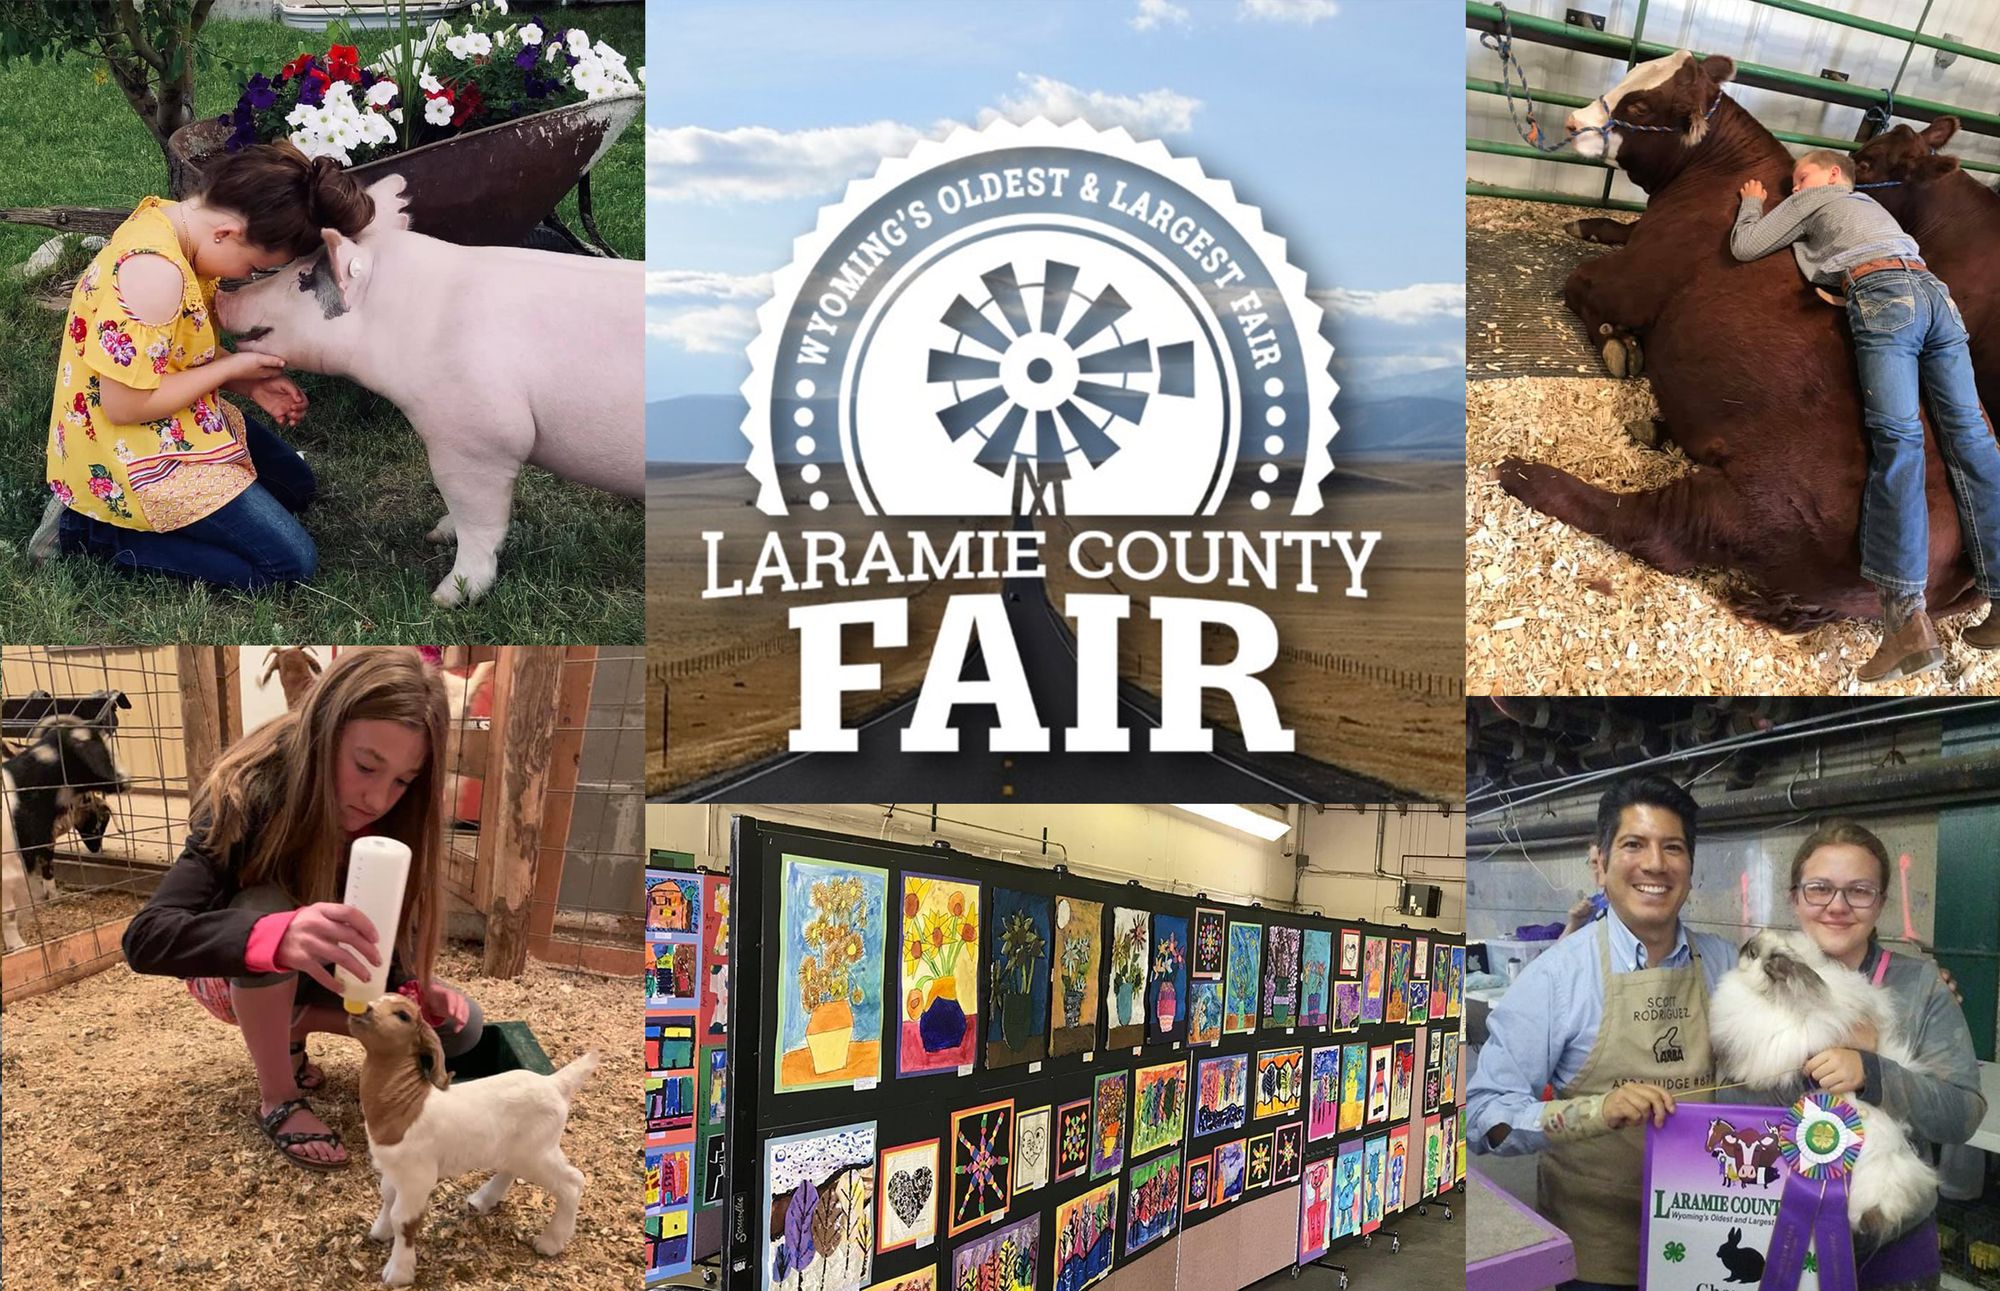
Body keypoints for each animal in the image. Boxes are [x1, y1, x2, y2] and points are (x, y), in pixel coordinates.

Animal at [212, 174, 636, 611]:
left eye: (303, 279)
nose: (222, 295)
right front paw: (437, 534)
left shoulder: (478, 437)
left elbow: (478, 520)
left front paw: (445, 596)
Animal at [348, 995, 596, 1287]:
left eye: (402, 1015)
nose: (362, 1009)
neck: (408, 1103)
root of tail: (555, 1083)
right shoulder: (394, 1168)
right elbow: (387, 1197)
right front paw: (380, 1231)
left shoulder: (418, 1175)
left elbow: (404, 1220)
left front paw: (398, 1272)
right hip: (520, 1149)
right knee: (511, 1169)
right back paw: (483, 1199)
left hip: (539, 1151)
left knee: (572, 1182)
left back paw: (550, 1242)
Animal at [1488, 53, 1984, 631]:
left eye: (1640, 106)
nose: (1571, 123)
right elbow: (1617, 230)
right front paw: (1589, 224)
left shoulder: (1635, 281)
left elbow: (1578, 283)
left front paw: (1617, 342)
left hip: (1754, 503)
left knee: (1653, 529)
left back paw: (1526, 474)